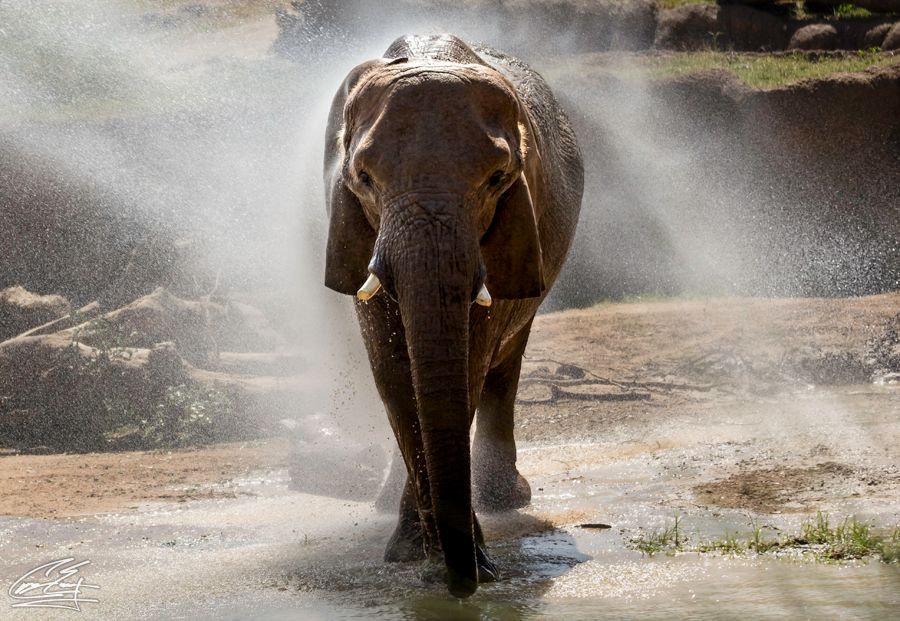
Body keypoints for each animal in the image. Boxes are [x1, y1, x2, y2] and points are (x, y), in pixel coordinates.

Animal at [322, 34, 583, 597]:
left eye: (497, 178)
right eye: (363, 178)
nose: (464, 584)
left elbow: (467, 366)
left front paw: (458, 561)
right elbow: (393, 373)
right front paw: (412, 556)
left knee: (504, 361)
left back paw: (506, 499)